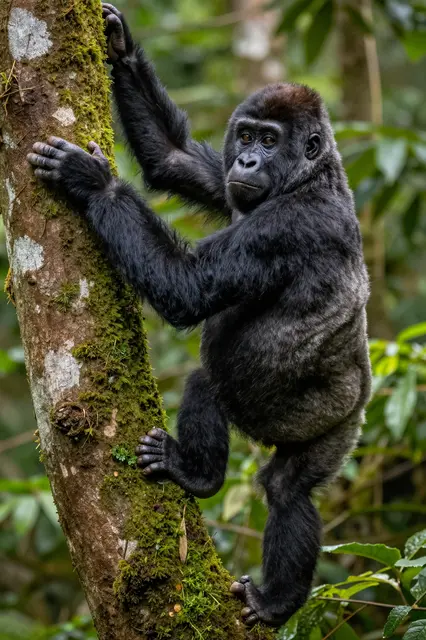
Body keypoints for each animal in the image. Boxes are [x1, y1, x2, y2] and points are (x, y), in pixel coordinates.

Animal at [27, 3, 371, 627]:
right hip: (341, 426)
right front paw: (119, 44)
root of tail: (360, 394)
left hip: (310, 409)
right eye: (247, 135)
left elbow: (186, 288)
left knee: (211, 389)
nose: (249, 159)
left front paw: (94, 182)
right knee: (293, 487)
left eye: (271, 140)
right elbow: (174, 159)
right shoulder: (229, 183)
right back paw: (282, 596)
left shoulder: (284, 227)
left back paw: (201, 478)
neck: (315, 173)